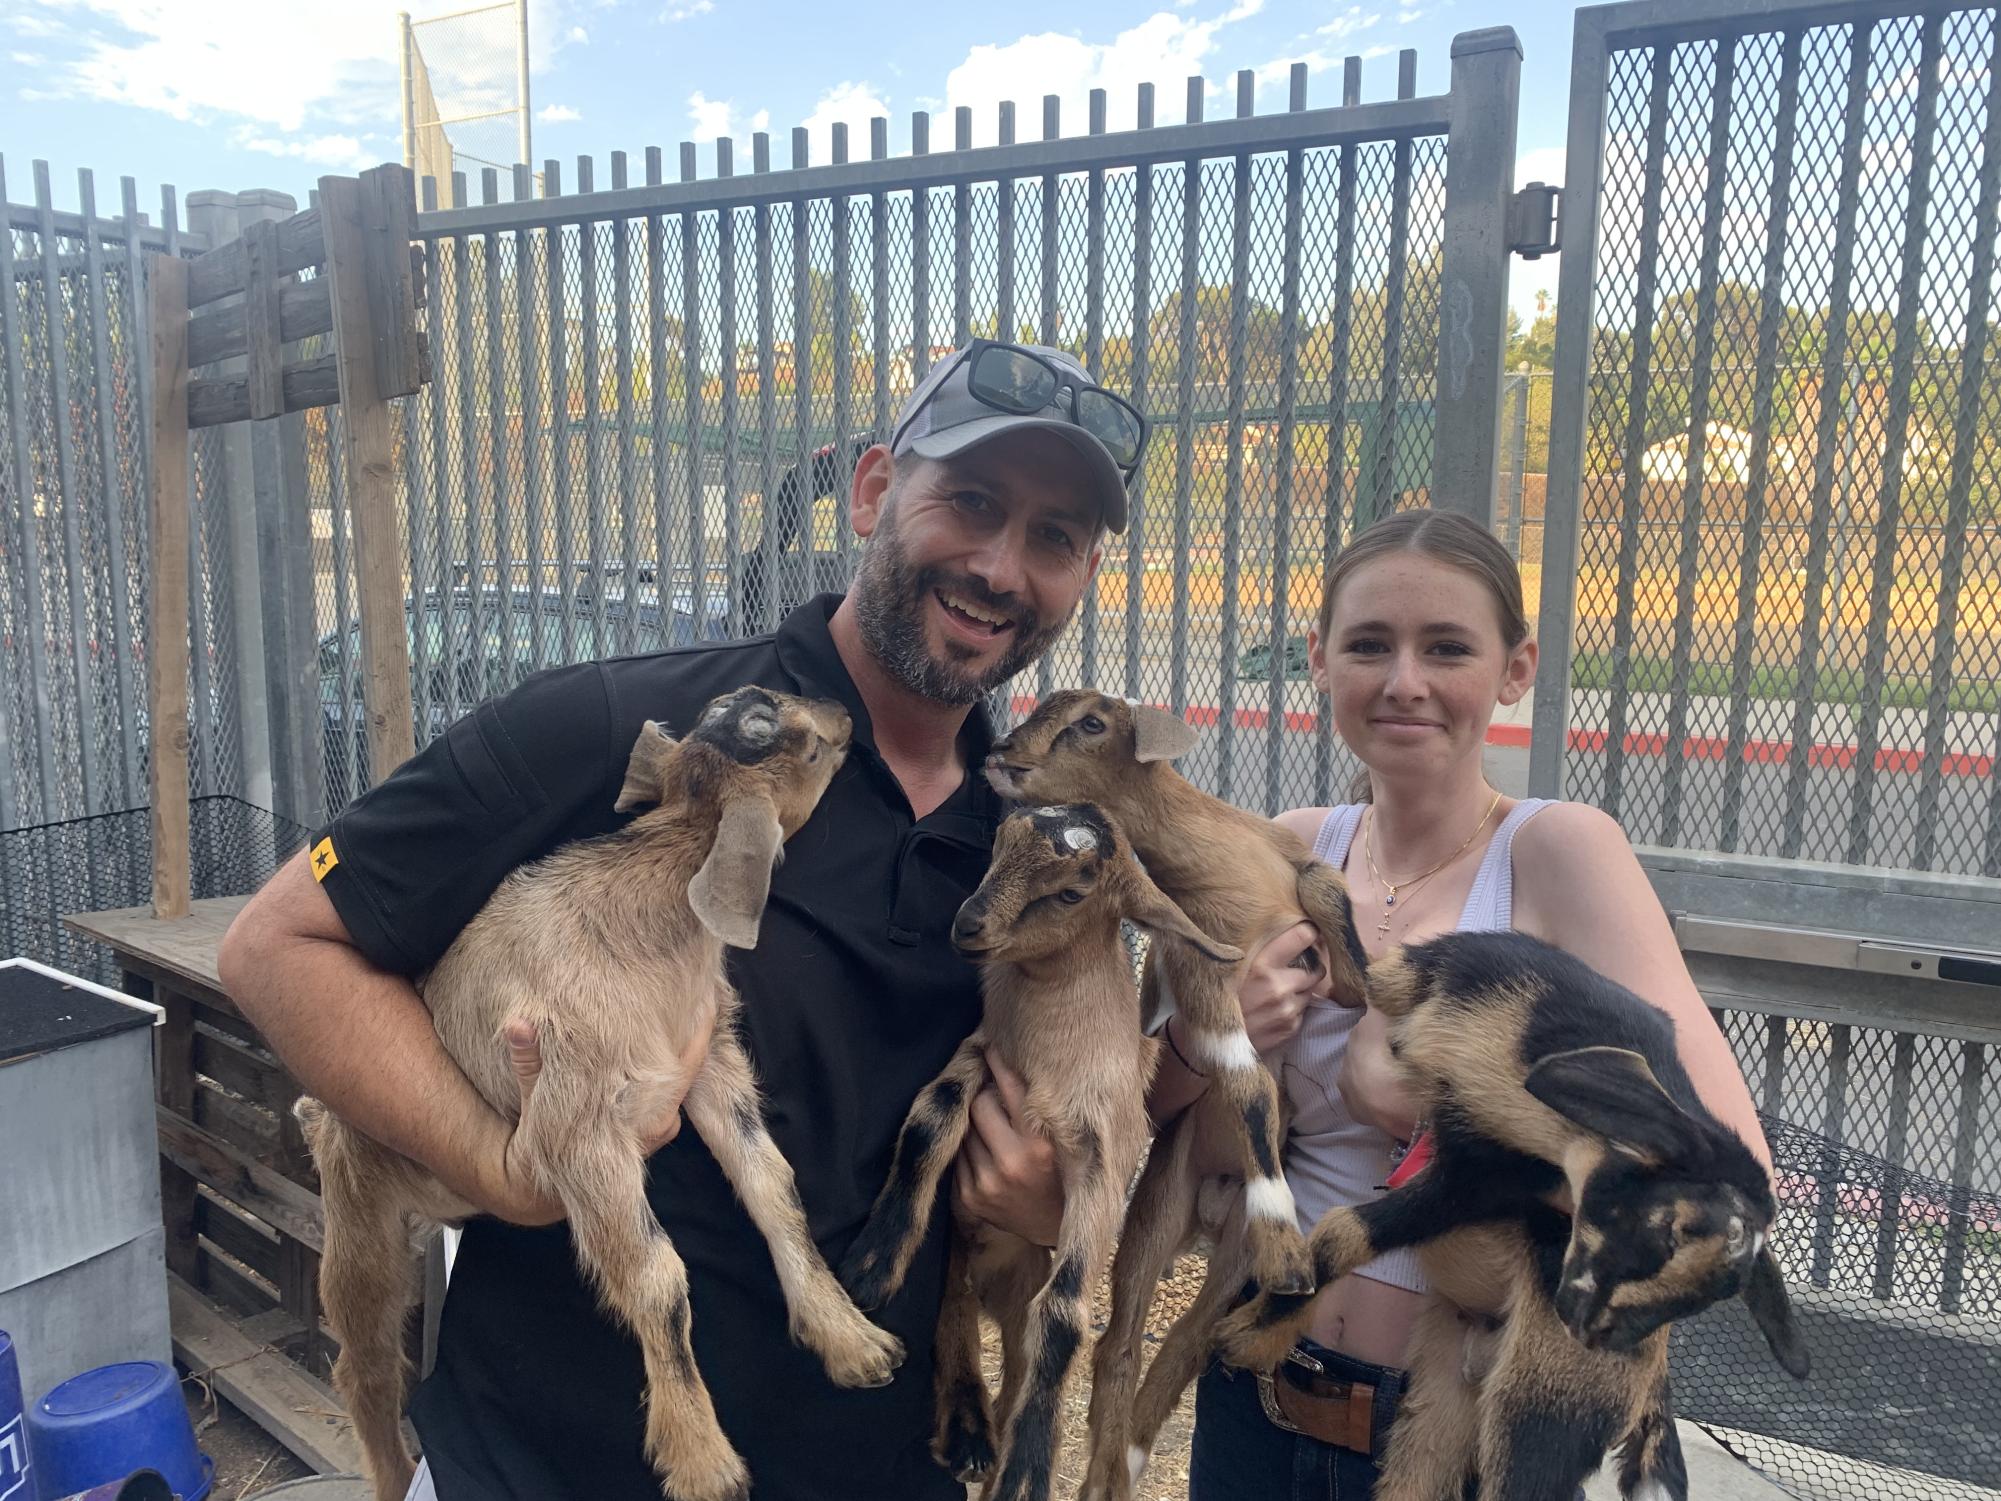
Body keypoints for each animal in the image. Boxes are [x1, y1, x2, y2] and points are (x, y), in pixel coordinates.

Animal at [294, 684, 900, 1501]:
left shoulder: (706, 1065)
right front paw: (701, 1458)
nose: (844, 712)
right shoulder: (581, 1128)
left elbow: (775, 1189)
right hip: (360, 1226)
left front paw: (851, 1340)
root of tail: (317, 1119)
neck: (649, 925)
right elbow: (656, 1278)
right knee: (365, 1367)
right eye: (806, 746)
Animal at [828, 812, 1232, 1501]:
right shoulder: (981, 1057)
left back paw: (991, 1456)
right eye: (999, 843)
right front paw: (871, 1266)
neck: (1047, 1057)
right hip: (968, 1259)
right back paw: (968, 1429)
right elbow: (928, 1124)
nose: (968, 924)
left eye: (1072, 892)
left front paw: (1026, 1472)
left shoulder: (1103, 1162)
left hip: (1021, 1282)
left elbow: (1065, 1314)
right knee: (956, 1307)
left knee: (1017, 1360)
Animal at [980, 692, 1376, 1501]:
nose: (1001, 751)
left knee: (1186, 1347)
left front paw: (1374, 985)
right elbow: (1248, 1083)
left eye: (1091, 722)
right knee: (1119, 1347)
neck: (1226, 870)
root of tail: (1215, 1206)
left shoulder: (1296, 876)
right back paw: (1106, 1477)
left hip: (1225, 1264)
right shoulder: (1202, 974)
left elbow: (1330, 900)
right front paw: (1289, 1245)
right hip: (1156, 1209)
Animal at [1208, 936, 1808, 1496]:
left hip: (1535, 1416)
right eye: (1666, 1227)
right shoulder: (1429, 974)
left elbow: (1344, 1234)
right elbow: (1359, 969)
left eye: (1703, 1301)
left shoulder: (1485, 1180)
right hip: (1441, 1406)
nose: (1587, 1332)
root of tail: (1652, 1386)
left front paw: (1249, 1335)